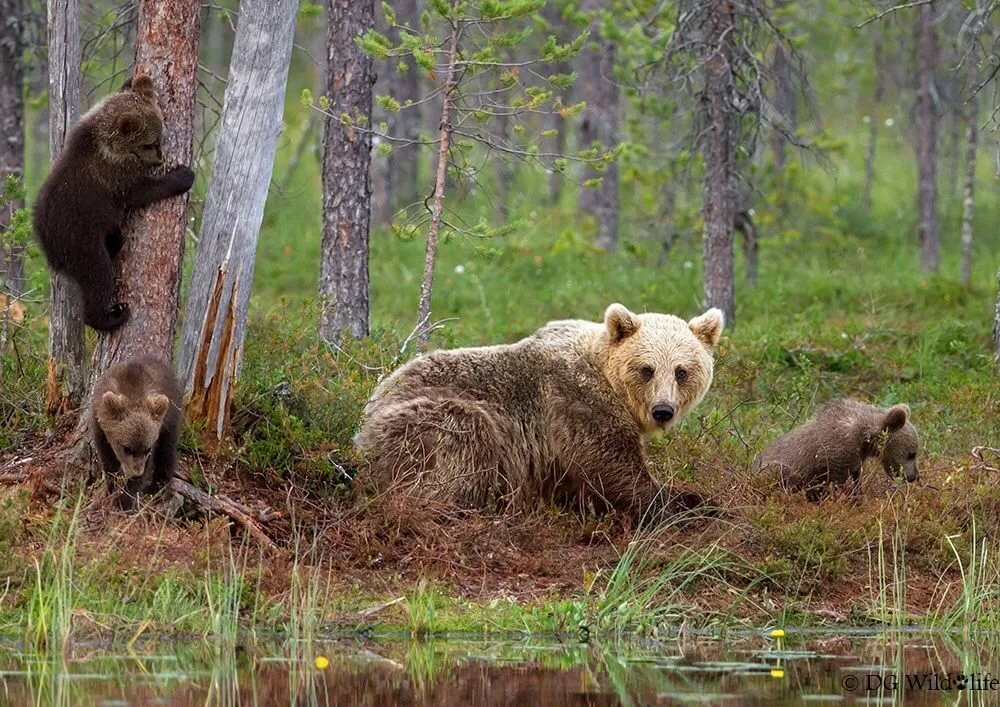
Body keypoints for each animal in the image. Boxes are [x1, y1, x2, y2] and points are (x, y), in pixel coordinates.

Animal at [33, 76, 195, 330]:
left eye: (158, 139)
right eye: (149, 143)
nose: (159, 160)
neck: (106, 144)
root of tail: (47, 245)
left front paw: (132, 81)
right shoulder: (115, 177)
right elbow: (142, 191)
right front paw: (183, 176)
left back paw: (117, 242)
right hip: (80, 239)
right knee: (98, 276)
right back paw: (113, 315)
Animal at [90, 356, 184, 512]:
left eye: (147, 449)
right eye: (127, 448)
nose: (136, 474)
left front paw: (124, 500)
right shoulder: (99, 427)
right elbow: (108, 461)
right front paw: (111, 487)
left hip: (171, 415)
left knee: (167, 452)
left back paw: (158, 487)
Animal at [356, 304, 724, 520]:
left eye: (681, 371)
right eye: (647, 369)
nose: (663, 410)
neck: (607, 378)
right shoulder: (576, 403)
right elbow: (611, 465)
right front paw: (687, 502)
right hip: (421, 423)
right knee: (465, 440)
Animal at [752, 398, 920, 504]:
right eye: (911, 454)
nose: (914, 476)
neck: (863, 437)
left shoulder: (855, 459)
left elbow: (856, 478)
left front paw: (857, 497)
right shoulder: (834, 454)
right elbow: (835, 483)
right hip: (775, 471)